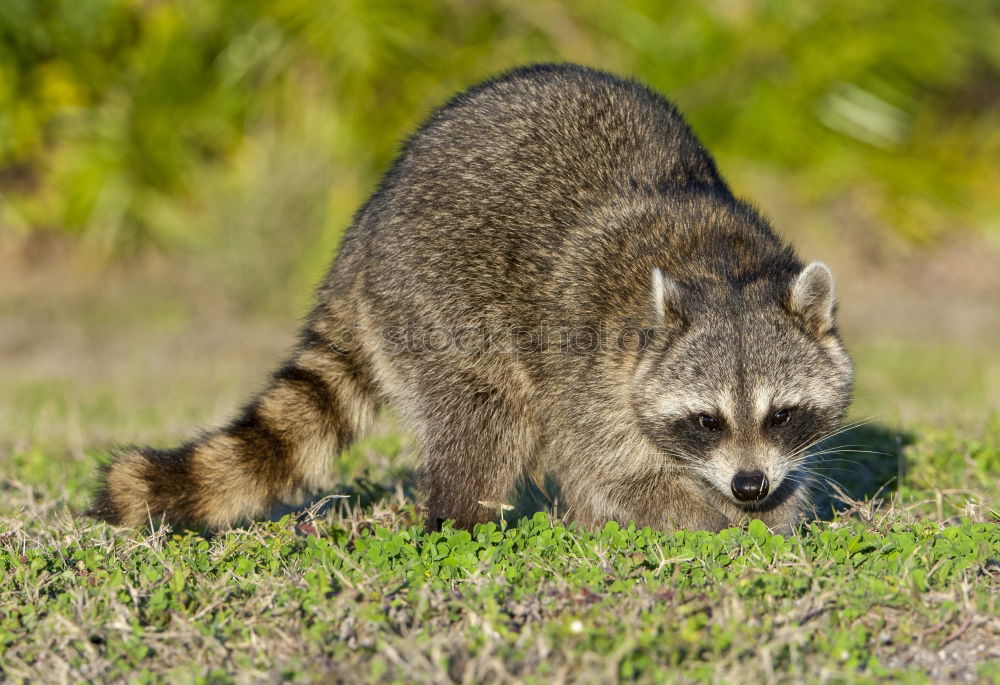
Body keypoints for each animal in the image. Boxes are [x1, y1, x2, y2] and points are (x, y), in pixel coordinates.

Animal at [88, 64, 852, 536]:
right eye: (705, 420)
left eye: (782, 414)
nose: (749, 486)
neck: (720, 265)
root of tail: (367, 227)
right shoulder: (587, 359)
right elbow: (604, 471)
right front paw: (705, 519)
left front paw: (776, 510)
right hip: (435, 299)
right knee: (487, 421)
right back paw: (463, 521)